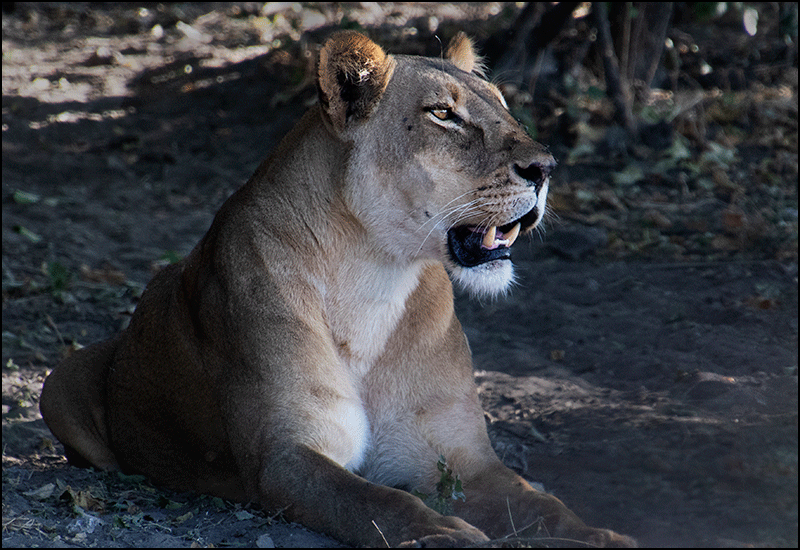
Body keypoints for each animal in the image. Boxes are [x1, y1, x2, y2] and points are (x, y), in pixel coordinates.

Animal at [40, 31, 634, 547]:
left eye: (504, 105)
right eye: (443, 114)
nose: (545, 167)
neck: (374, 275)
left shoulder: (464, 457)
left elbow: (542, 505)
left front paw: (604, 536)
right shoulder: (287, 456)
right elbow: (378, 502)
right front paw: (445, 535)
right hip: (58, 380)